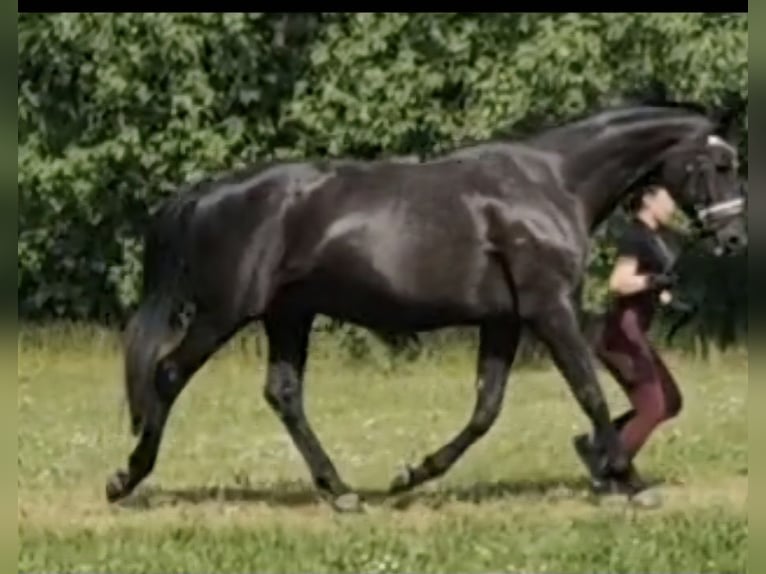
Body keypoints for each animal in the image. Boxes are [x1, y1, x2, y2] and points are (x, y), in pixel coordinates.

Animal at [106, 101, 747, 512]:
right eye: (718, 163)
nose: (735, 238)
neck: (552, 184)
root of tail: (208, 192)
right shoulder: (549, 309)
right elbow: (589, 391)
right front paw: (632, 482)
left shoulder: (503, 320)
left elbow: (486, 409)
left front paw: (411, 474)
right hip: (225, 313)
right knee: (168, 374)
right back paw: (125, 480)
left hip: (289, 316)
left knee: (283, 394)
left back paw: (342, 492)